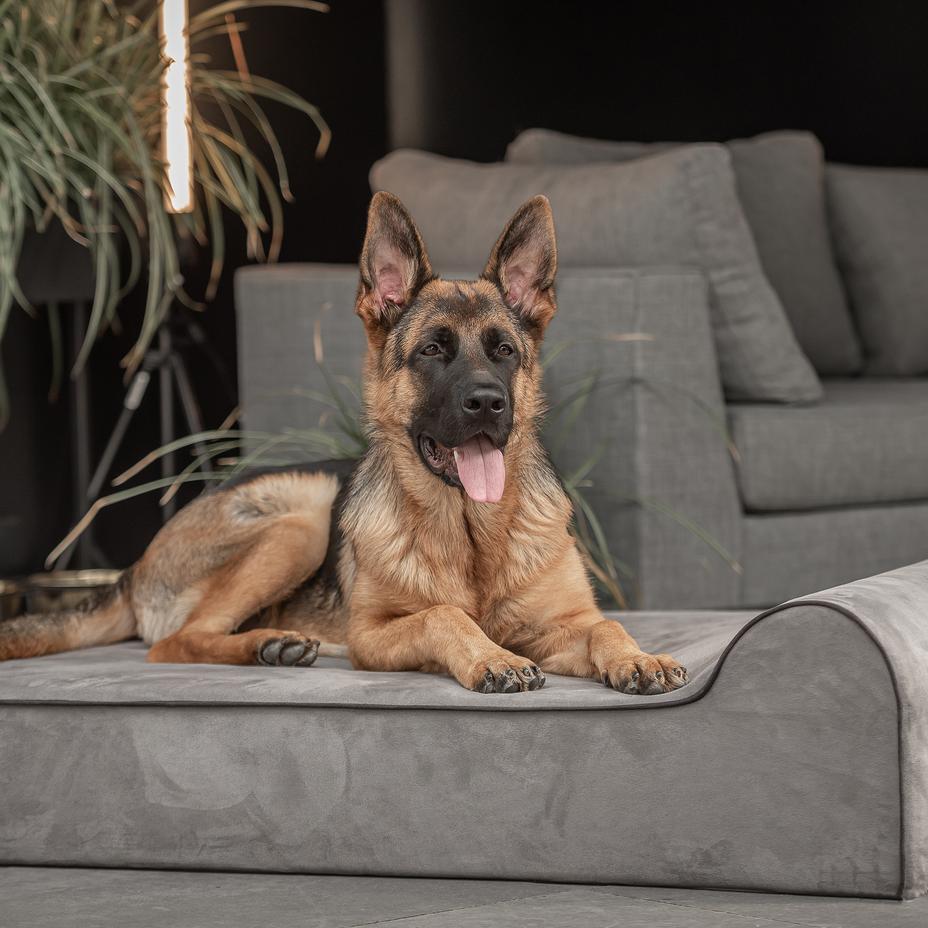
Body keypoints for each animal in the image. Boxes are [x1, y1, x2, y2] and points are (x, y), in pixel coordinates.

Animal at [1, 192, 688, 692]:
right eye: (432, 350)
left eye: (504, 352)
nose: (489, 403)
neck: (471, 534)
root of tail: (134, 569)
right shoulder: (375, 636)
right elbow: (442, 615)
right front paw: (489, 656)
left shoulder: (564, 624)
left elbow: (607, 626)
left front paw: (639, 657)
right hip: (299, 518)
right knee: (178, 640)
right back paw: (269, 645)